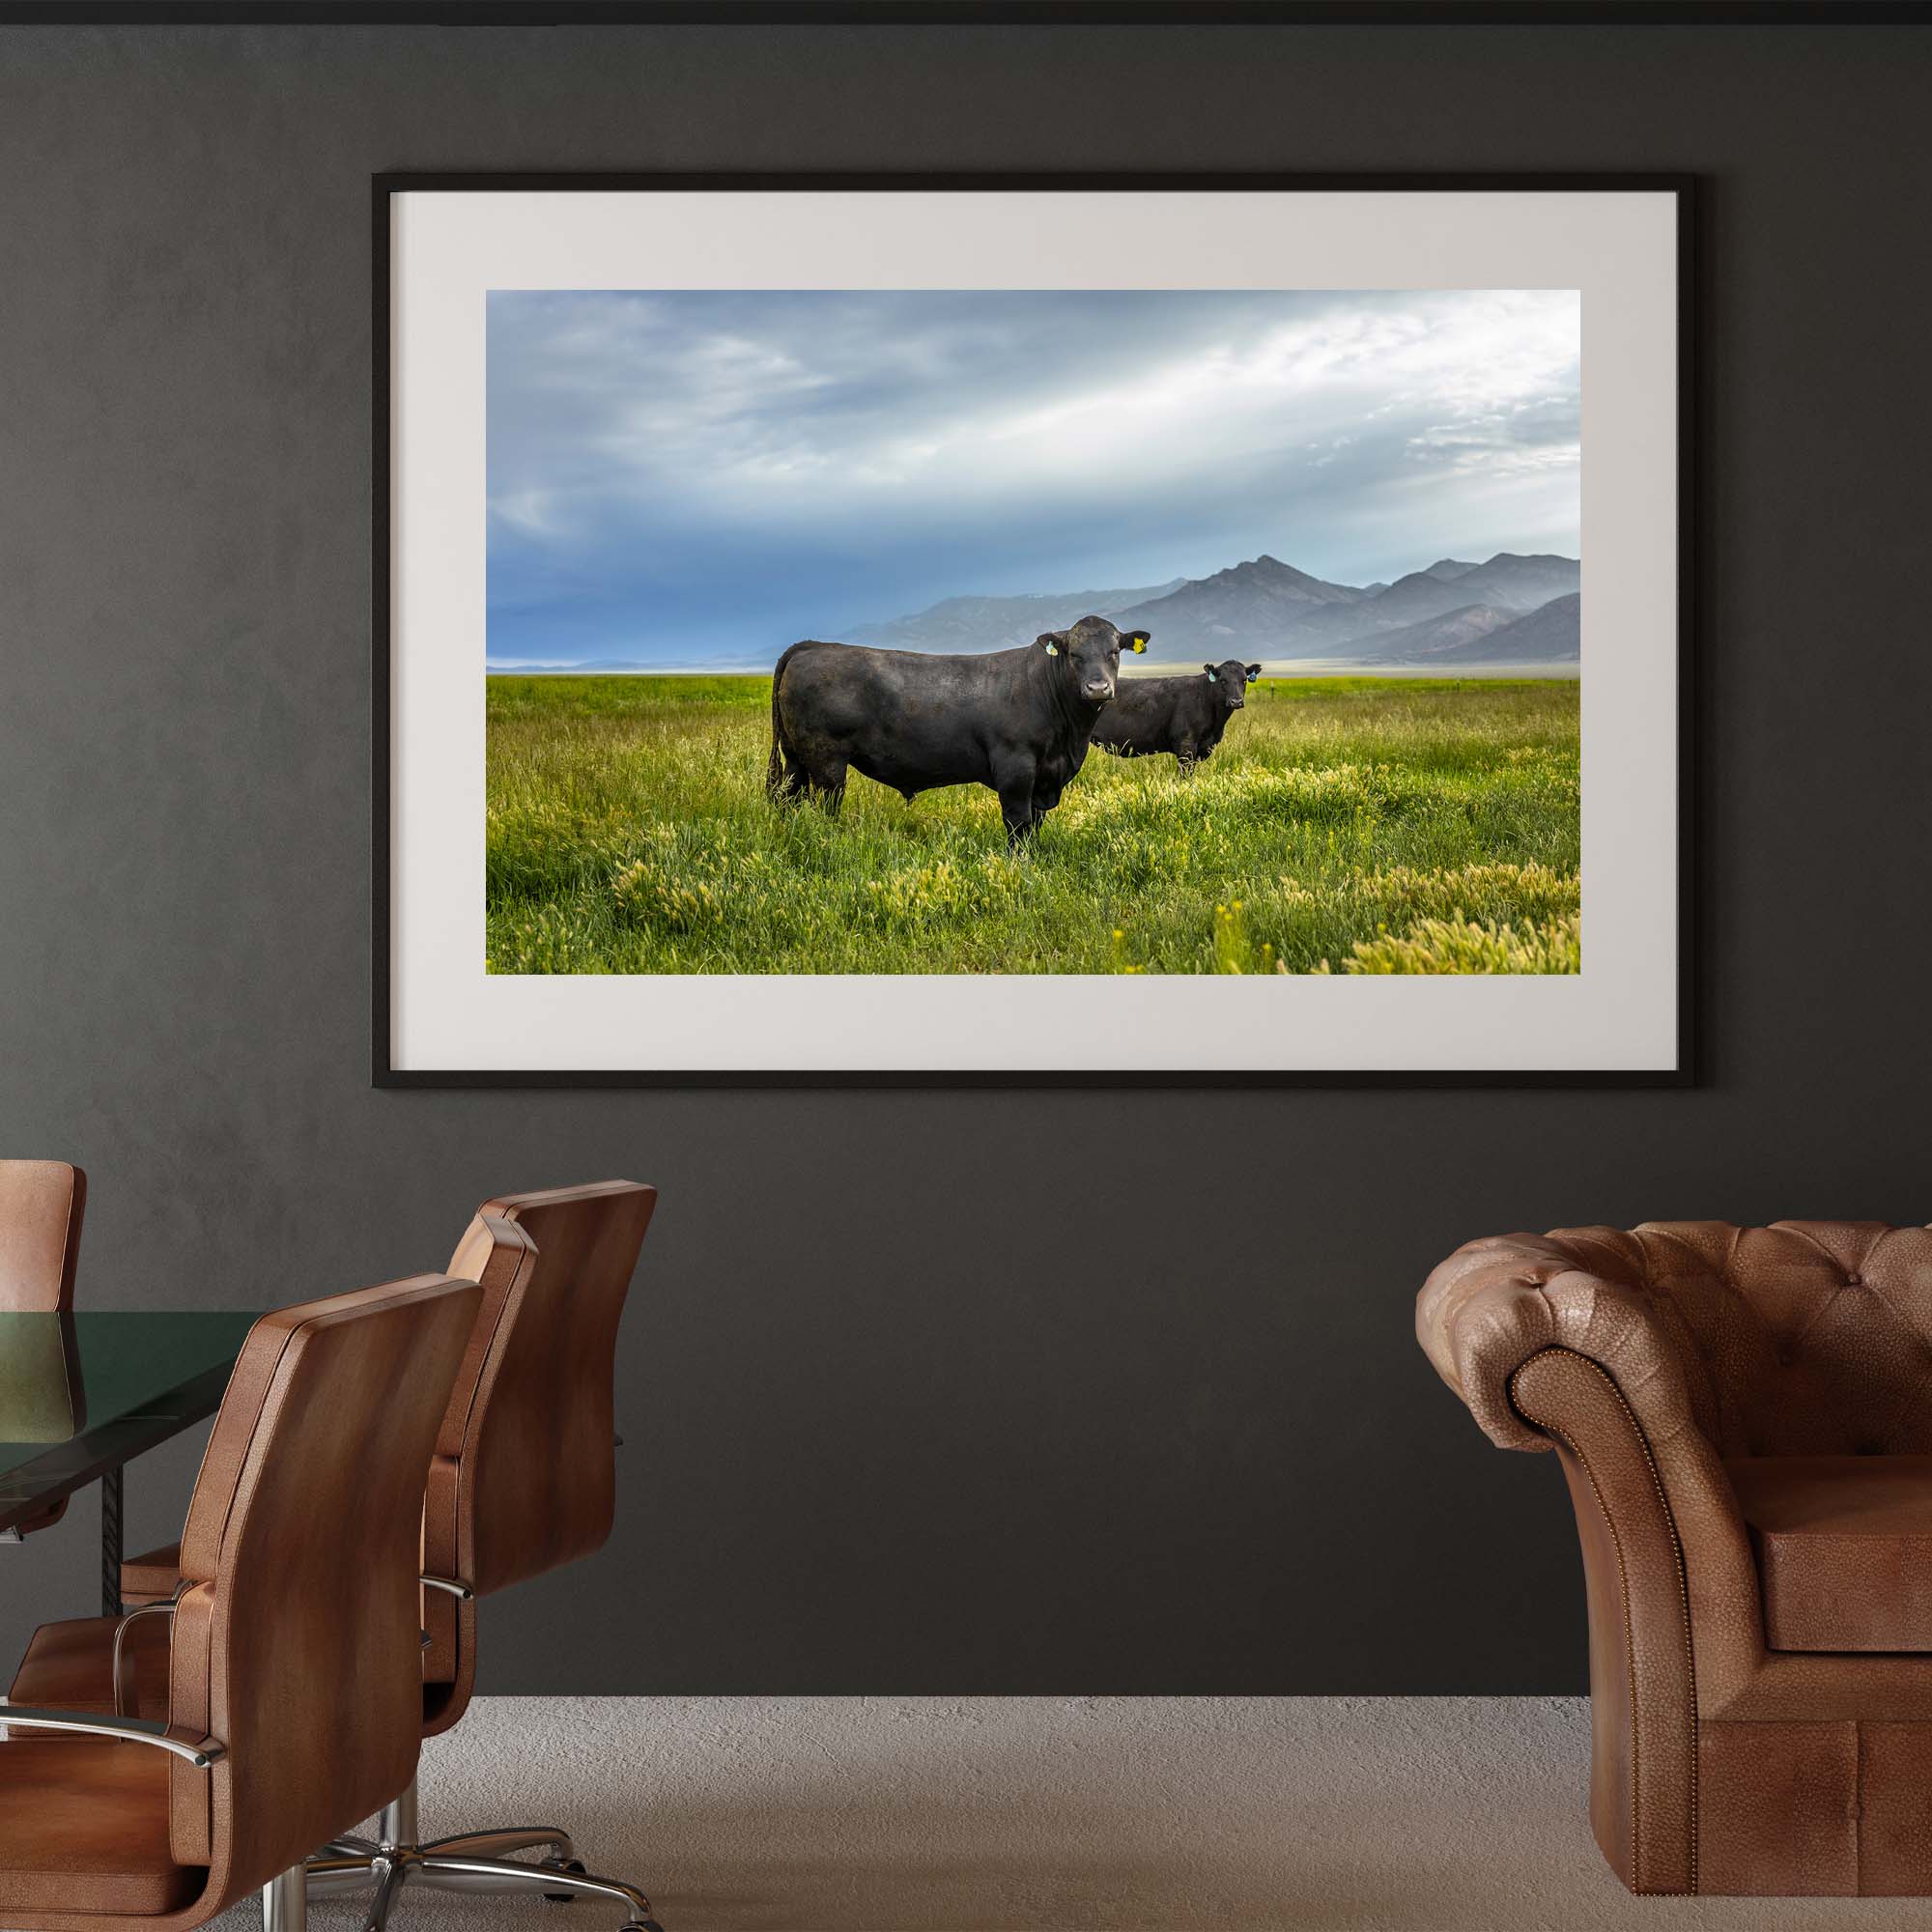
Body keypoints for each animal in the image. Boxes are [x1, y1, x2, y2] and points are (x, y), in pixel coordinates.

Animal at [767, 615, 1151, 850]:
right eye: (1074, 653)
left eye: (1114, 651)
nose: (1098, 688)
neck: (1068, 741)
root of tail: (811, 646)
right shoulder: (1016, 767)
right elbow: (1018, 821)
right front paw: (1020, 864)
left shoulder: (1044, 775)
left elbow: (1035, 824)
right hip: (826, 760)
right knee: (824, 805)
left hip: (796, 756)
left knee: (788, 797)